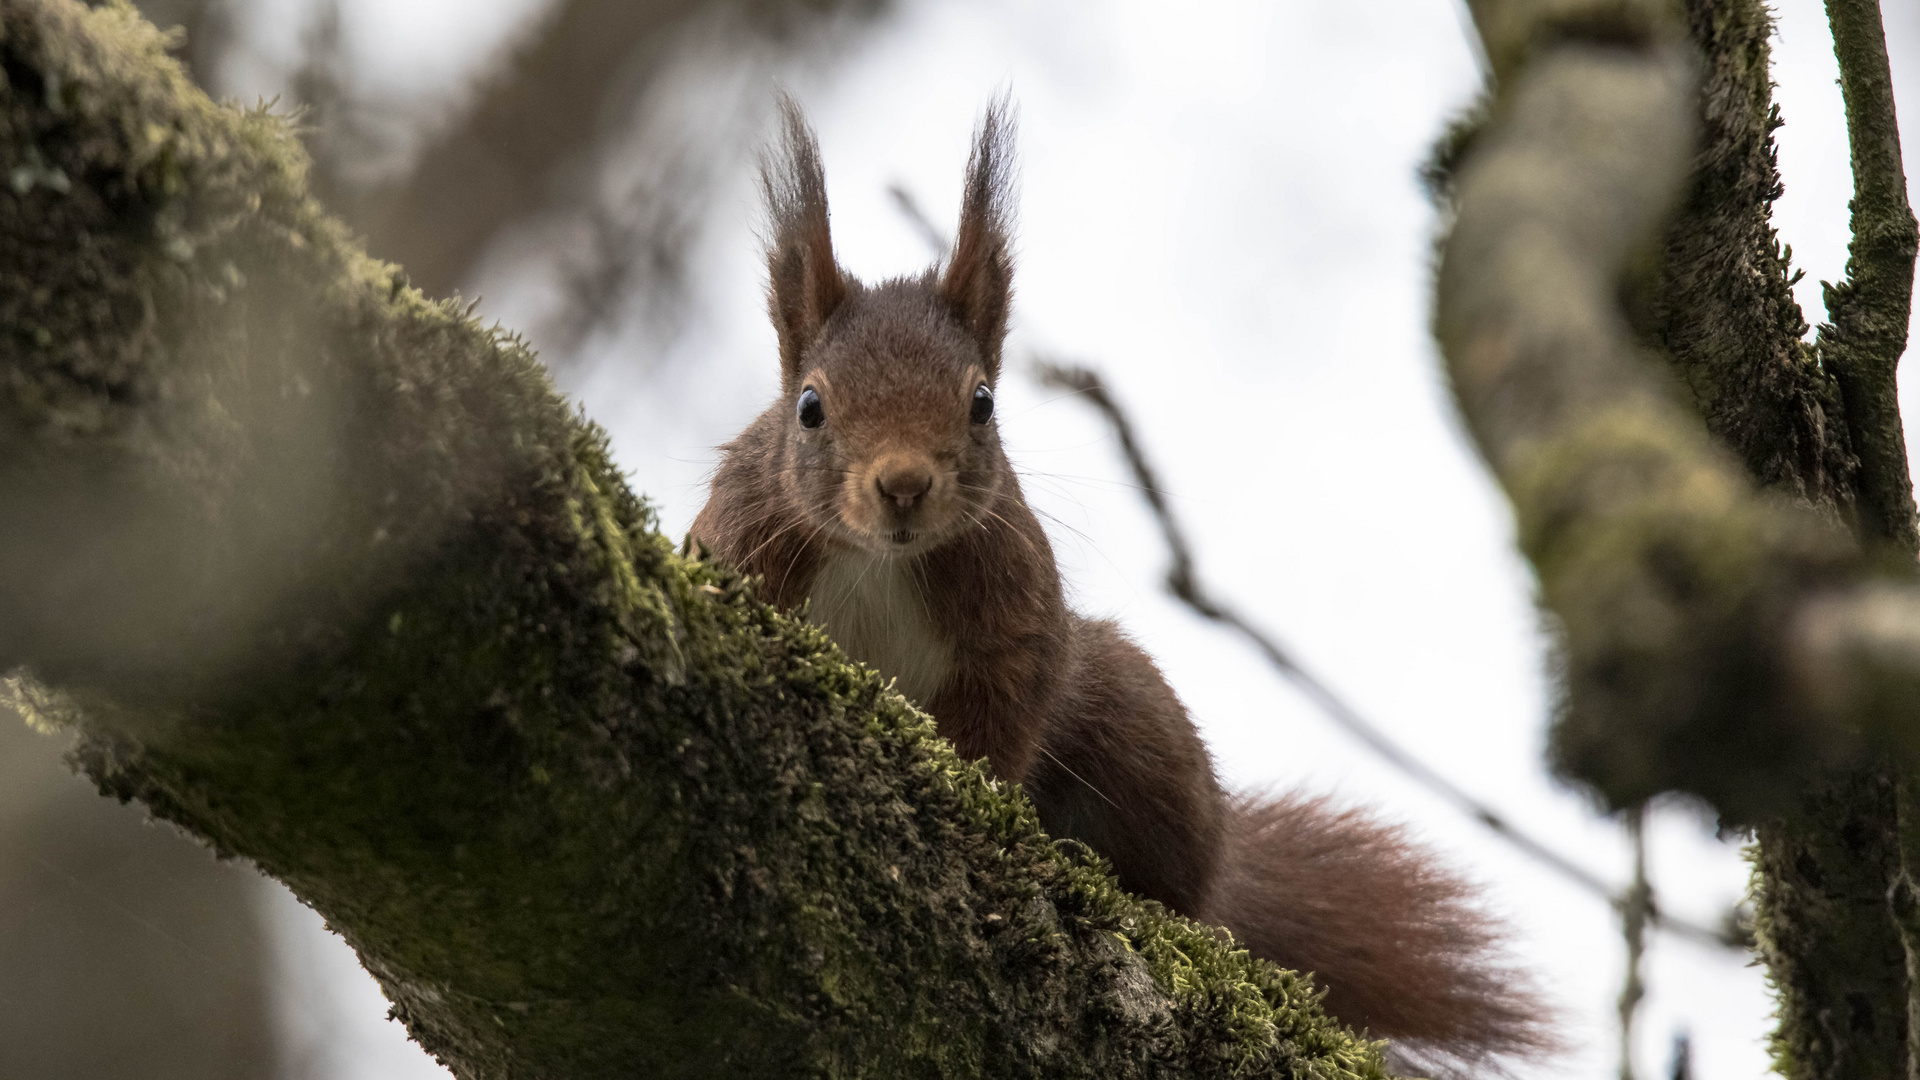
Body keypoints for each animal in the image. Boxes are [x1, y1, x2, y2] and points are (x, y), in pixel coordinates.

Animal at [698, 98, 1551, 1068]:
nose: (904, 485)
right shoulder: (743, 547)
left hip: (1138, 724)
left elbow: (1001, 719)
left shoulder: (1015, 620)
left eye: (983, 402)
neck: (882, 559)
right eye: (809, 407)